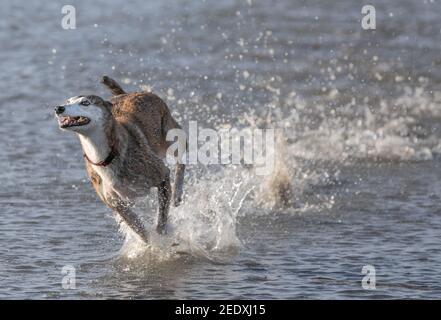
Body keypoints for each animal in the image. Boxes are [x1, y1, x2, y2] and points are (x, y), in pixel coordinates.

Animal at [54, 76, 185, 242]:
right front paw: (147, 242)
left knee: (182, 154)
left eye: (85, 102)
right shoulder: (114, 202)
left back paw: (177, 193)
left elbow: (161, 217)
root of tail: (128, 93)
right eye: (68, 101)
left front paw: (161, 237)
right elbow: (137, 226)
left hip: (169, 135)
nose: (58, 108)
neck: (108, 154)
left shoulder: (161, 176)